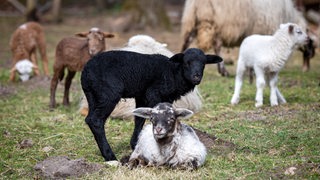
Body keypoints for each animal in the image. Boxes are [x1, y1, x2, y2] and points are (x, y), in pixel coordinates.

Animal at [80, 47, 222, 160]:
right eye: (186, 62)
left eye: (203, 63)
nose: (196, 77)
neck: (174, 72)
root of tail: (85, 72)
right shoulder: (154, 93)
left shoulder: (142, 95)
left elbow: (139, 119)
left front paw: (135, 144)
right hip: (108, 94)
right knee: (96, 120)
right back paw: (109, 156)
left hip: (93, 95)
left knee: (90, 119)